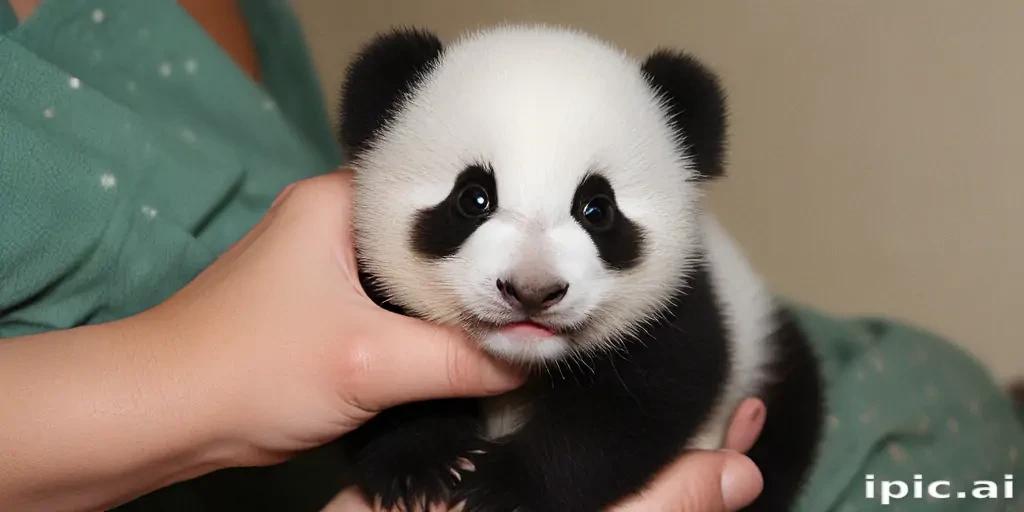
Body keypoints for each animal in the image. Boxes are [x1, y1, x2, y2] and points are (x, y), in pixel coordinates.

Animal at [338, 24, 824, 512]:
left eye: (597, 209)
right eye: (473, 198)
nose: (532, 291)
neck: (527, 358)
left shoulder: (676, 308)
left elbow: (637, 406)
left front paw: (505, 487)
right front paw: (421, 466)